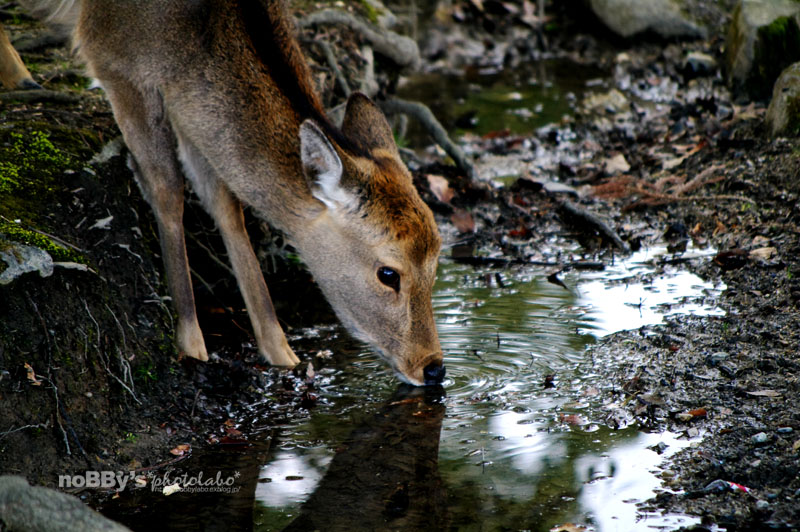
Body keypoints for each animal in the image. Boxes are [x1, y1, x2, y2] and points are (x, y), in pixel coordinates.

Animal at [7, 0, 444, 384]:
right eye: (388, 273)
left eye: (437, 262)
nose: (434, 368)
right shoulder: (112, 59)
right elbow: (167, 188)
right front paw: (190, 346)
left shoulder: (191, 110)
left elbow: (224, 202)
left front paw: (282, 353)